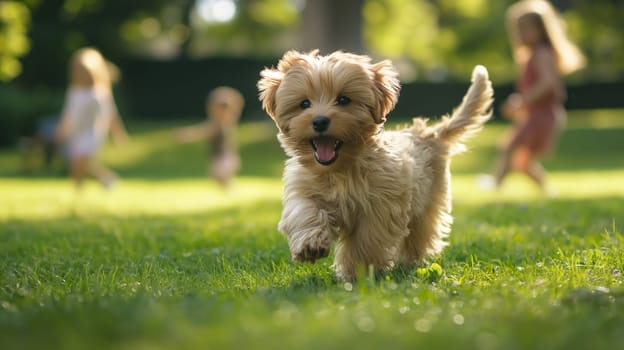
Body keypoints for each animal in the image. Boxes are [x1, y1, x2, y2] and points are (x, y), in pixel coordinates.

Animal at [258, 49, 492, 280]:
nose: (320, 121)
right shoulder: (304, 190)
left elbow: (365, 241)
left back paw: (411, 262)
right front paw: (310, 245)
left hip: (427, 204)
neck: (340, 170)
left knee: (419, 235)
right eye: (304, 103)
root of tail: (426, 134)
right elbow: (305, 212)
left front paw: (357, 272)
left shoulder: (379, 208)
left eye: (344, 100)